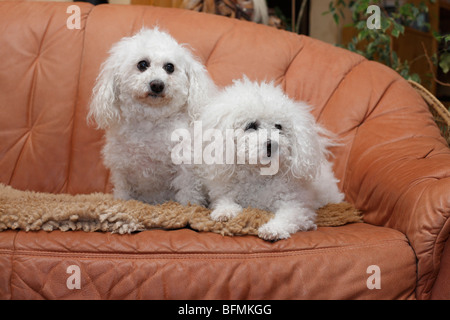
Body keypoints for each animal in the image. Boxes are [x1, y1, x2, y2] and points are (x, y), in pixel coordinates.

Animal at [89, 28, 216, 206]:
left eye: (169, 67)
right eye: (142, 64)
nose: (157, 84)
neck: (151, 123)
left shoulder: (186, 169)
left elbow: (188, 195)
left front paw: (189, 208)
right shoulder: (122, 170)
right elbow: (123, 193)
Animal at [198, 78, 344, 240]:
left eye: (278, 126)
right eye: (251, 125)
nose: (272, 144)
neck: (259, 175)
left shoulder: (297, 207)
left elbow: (287, 217)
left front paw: (273, 229)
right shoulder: (224, 194)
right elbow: (224, 201)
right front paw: (224, 212)